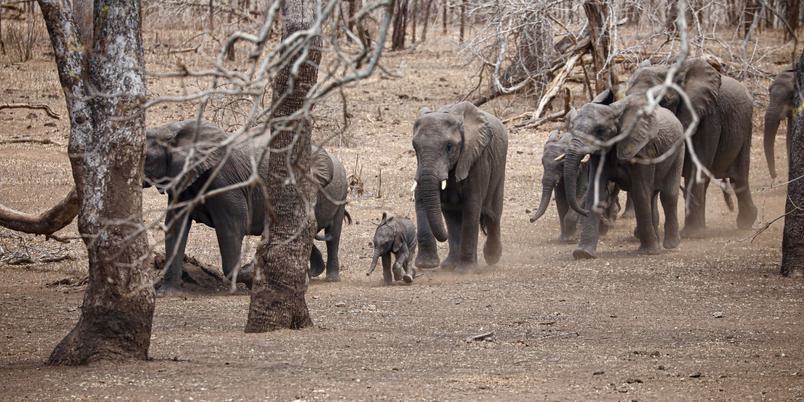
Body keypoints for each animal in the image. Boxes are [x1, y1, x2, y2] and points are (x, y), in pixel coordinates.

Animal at [143, 119, 349, 292]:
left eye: (144, 157)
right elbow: (175, 227)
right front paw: (167, 293)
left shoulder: (224, 182)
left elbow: (232, 227)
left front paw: (254, 274)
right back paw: (310, 273)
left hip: (340, 192)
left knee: (333, 235)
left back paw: (329, 277)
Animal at [412, 101, 508, 271]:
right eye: (415, 147)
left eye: (449, 147)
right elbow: (423, 198)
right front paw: (427, 265)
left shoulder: (476, 158)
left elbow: (472, 206)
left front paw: (465, 271)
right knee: (452, 215)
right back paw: (449, 266)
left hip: (499, 167)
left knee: (494, 214)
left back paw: (492, 258)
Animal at [563, 90, 685, 259]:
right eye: (571, 127)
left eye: (599, 131)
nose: (584, 212)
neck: (614, 112)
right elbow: (595, 190)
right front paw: (583, 254)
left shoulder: (643, 150)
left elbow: (640, 192)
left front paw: (649, 252)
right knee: (652, 194)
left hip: (678, 150)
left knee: (667, 194)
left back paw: (670, 244)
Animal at [626, 58, 757, 235]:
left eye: (664, 101)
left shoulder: (708, 117)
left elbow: (695, 168)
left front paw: (691, 235)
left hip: (745, 125)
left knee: (739, 175)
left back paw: (745, 223)